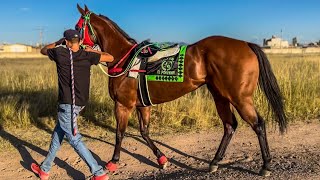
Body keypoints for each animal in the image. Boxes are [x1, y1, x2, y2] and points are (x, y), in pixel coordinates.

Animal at [75, 4, 288, 176]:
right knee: (229, 126)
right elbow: (144, 132)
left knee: (258, 124)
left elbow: (120, 134)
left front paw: (113, 162)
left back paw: (266, 165)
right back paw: (215, 162)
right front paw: (161, 159)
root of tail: (246, 44)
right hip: (220, 95)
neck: (125, 59)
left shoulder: (123, 105)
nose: (71, 44)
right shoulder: (143, 105)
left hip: (240, 97)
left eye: (77, 28)